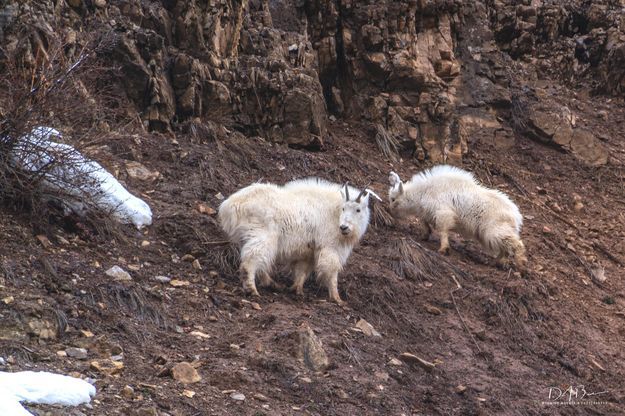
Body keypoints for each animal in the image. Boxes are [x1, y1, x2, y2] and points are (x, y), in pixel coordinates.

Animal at [217, 177, 378, 304]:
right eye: (344, 208)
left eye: (358, 209)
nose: (344, 227)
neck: (334, 213)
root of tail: (231, 205)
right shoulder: (329, 247)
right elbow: (332, 271)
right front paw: (337, 298)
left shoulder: (307, 251)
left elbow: (302, 270)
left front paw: (297, 289)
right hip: (263, 236)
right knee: (251, 261)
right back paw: (252, 290)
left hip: (247, 237)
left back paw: (272, 284)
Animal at [386, 166, 528, 270]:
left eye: (393, 199)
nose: (388, 211)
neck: (423, 192)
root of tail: (516, 216)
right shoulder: (429, 213)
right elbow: (425, 222)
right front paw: (425, 235)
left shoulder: (443, 213)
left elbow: (442, 231)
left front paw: (444, 249)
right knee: (505, 247)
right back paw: (498, 262)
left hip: (494, 232)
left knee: (517, 244)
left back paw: (520, 264)